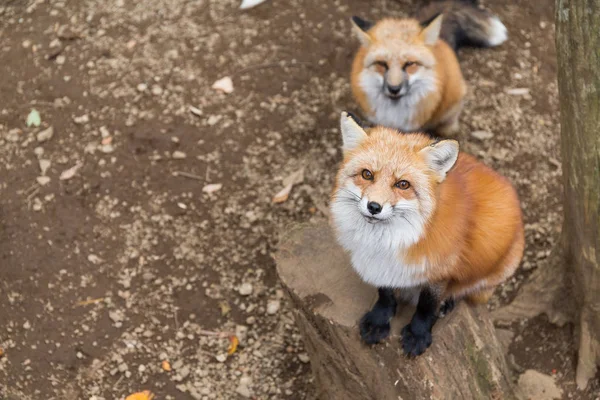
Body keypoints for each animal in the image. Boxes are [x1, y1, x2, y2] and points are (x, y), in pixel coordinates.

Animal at [330, 113, 524, 356]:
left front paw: (418, 334)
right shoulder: (380, 265)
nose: (374, 206)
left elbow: (426, 305)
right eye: (367, 174)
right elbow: (384, 293)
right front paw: (379, 320)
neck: (387, 242)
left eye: (403, 184)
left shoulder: (439, 269)